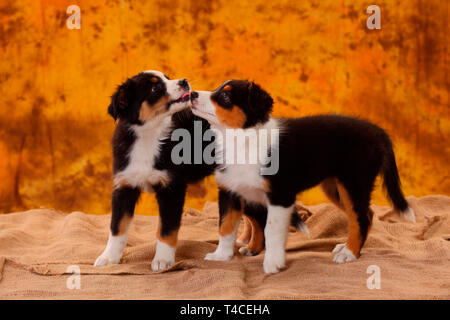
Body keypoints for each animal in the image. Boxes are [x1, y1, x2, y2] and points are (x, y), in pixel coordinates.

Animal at [93, 71, 308, 272]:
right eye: (154, 88)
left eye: (167, 77)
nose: (184, 81)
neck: (149, 135)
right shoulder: (124, 186)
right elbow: (117, 227)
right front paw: (108, 258)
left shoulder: (172, 188)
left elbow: (166, 229)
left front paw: (162, 261)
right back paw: (250, 245)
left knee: (260, 217)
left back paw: (253, 248)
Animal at [190, 81, 414, 274]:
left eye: (225, 96)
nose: (192, 94)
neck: (242, 139)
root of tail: (378, 132)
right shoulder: (231, 191)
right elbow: (226, 227)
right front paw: (221, 256)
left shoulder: (280, 195)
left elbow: (272, 229)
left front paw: (273, 264)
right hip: (335, 188)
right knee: (366, 214)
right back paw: (346, 248)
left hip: (354, 183)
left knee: (361, 218)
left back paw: (349, 254)